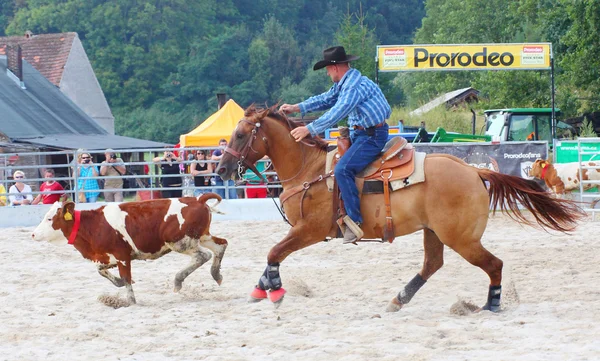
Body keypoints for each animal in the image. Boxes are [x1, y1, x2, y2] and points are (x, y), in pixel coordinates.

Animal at [31, 193, 227, 302]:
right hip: (202, 236)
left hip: (180, 242)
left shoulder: (122, 255)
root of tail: (197, 200)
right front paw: (117, 282)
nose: (33, 234)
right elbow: (101, 270)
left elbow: (126, 278)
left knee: (202, 256)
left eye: (49, 218)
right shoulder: (107, 256)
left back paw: (178, 281)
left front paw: (131, 301)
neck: (93, 225)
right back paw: (216, 274)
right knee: (221, 245)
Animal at [217, 105, 584, 310]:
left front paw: (275, 292)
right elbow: (273, 254)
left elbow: (274, 252)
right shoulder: (303, 231)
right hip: (435, 232)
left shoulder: (310, 230)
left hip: (461, 238)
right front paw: (259, 289)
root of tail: (474, 171)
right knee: (433, 265)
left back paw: (491, 305)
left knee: (494, 264)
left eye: (240, 135)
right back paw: (399, 299)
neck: (310, 169)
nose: (220, 170)